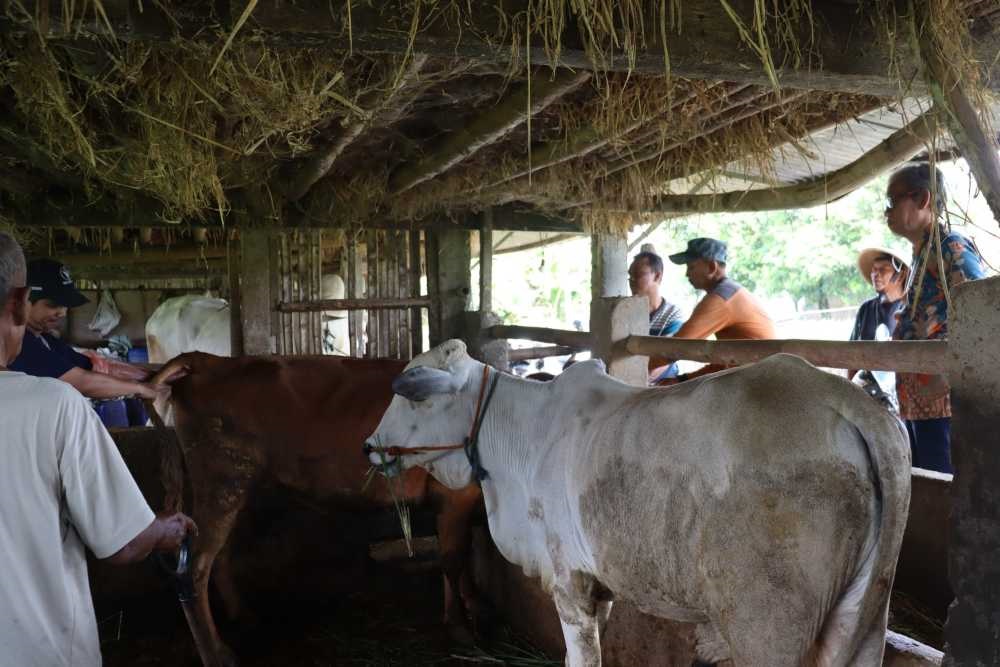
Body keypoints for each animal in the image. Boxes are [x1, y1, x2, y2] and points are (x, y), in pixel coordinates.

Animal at [149, 352, 488, 664]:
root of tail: (205, 360)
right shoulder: (456, 493)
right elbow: (453, 558)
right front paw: (460, 627)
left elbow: (464, 553)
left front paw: (473, 604)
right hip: (224, 481)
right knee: (193, 568)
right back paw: (217, 654)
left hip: (235, 489)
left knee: (219, 556)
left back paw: (243, 616)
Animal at [370, 342, 916, 664]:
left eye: (413, 394)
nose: (370, 446)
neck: (522, 434)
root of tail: (850, 402)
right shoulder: (601, 587)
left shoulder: (568, 581)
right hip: (866, 616)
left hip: (768, 628)